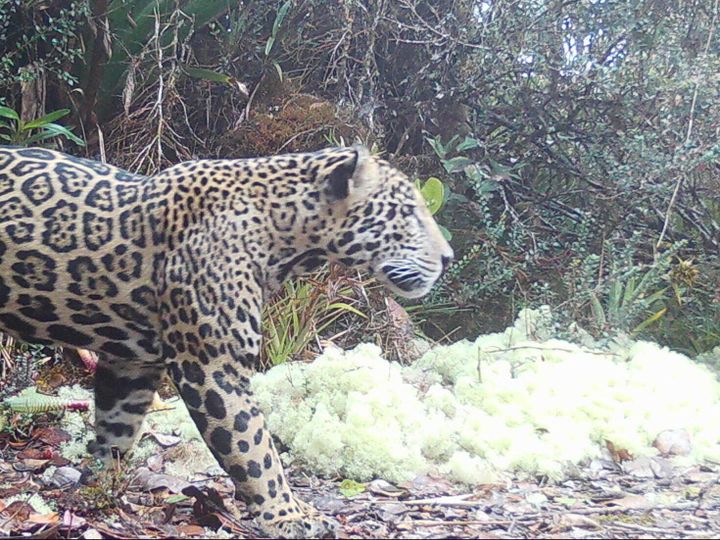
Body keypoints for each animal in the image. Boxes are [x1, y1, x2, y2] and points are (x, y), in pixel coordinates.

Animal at [0, 144, 454, 538]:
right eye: (407, 213)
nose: (449, 258)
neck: (285, 234)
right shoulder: (213, 365)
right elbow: (255, 450)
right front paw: (288, 515)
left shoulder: (130, 363)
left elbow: (118, 427)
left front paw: (99, 489)